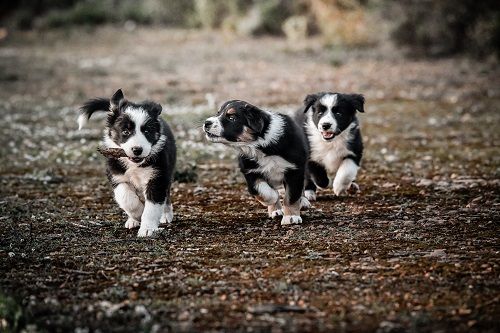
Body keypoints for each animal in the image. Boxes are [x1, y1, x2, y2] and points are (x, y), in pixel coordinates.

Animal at [77, 89, 177, 236]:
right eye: (125, 131)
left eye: (147, 131)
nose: (137, 150)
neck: (135, 165)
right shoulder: (117, 176)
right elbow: (125, 198)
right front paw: (138, 215)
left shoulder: (158, 177)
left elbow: (153, 205)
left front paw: (147, 229)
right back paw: (132, 220)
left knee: (166, 196)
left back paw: (165, 215)